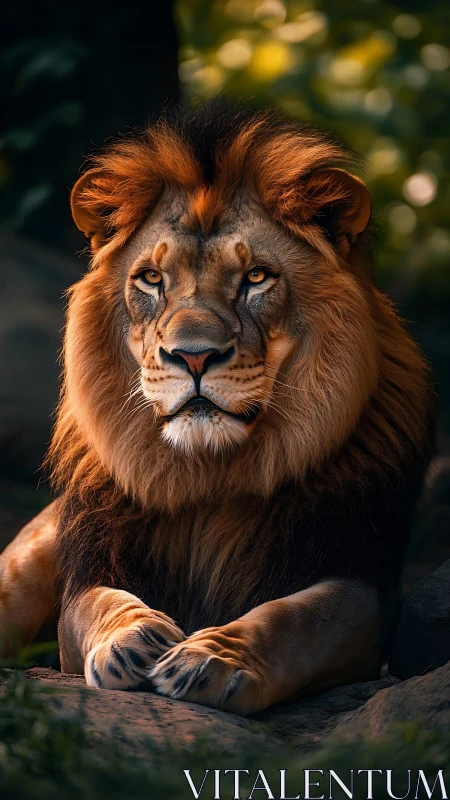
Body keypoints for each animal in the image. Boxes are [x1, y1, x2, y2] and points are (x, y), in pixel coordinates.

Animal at [0, 102, 434, 715]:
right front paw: (132, 638)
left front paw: (214, 658)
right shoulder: (91, 570)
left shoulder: (357, 575)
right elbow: (98, 604)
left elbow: (297, 619)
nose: (194, 356)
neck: (211, 475)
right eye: (151, 279)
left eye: (255, 278)